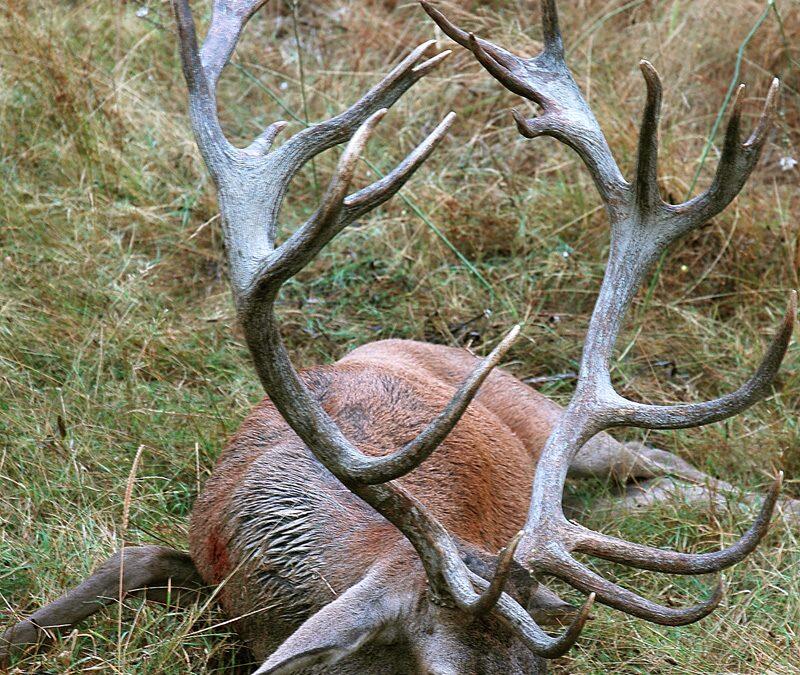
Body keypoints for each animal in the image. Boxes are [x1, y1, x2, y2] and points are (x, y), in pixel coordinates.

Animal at [3, 0, 796, 672]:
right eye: (444, 670)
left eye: (543, 666)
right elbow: (129, 559)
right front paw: (21, 633)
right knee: (637, 487)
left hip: (541, 413)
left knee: (649, 454)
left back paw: (780, 506)